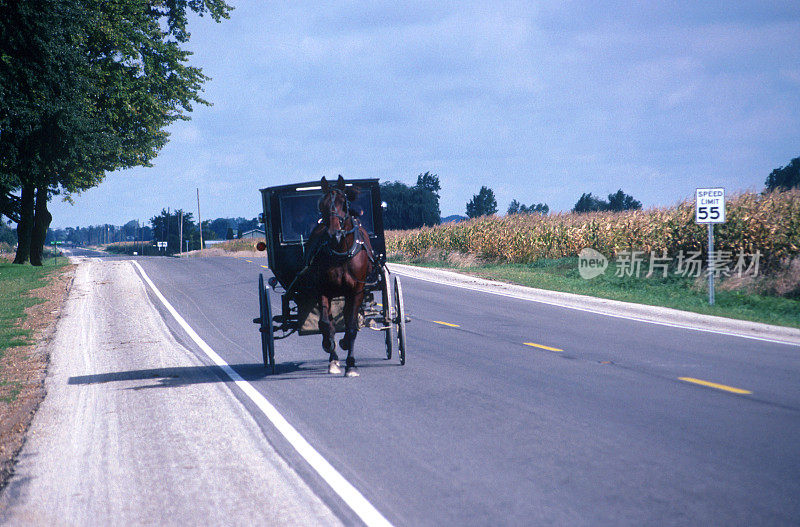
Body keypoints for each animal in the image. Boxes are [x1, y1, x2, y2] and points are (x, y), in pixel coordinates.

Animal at [310, 177, 378, 380]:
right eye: (322, 204)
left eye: (343, 203)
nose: (334, 233)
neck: (340, 252)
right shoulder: (323, 290)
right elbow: (326, 324)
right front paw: (331, 351)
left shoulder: (356, 291)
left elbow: (352, 326)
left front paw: (351, 364)